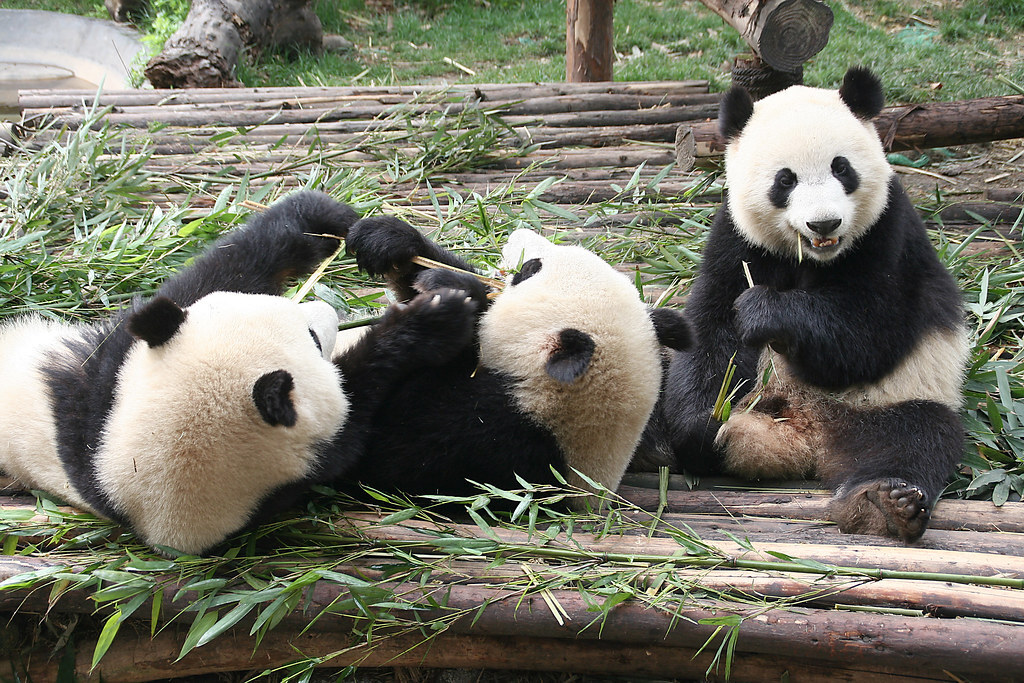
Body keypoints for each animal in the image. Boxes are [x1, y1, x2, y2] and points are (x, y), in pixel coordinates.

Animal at [0, 191, 478, 554]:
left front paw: (334, 219)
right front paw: (428, 324)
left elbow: (226, 269)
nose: (326, 310)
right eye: (312, 339)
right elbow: (357, 403)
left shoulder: (103, 386)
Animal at [340, 218, 691, 504]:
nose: (517, 234)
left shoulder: (473, 444)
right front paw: (390, 242)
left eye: (530, 269)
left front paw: (427, 323)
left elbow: (357, 442)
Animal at [645, 67, 968, 542]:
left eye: (841, 167)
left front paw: (766, 312)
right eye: (785, 180)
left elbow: (868, 334)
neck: (812, 256)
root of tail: (803, 435)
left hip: (895, 397)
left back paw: (883, 505)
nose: (824, 223)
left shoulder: (887, 233)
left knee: (914, 439)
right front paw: (702, 427)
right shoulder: (736, 238)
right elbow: (711, 326)